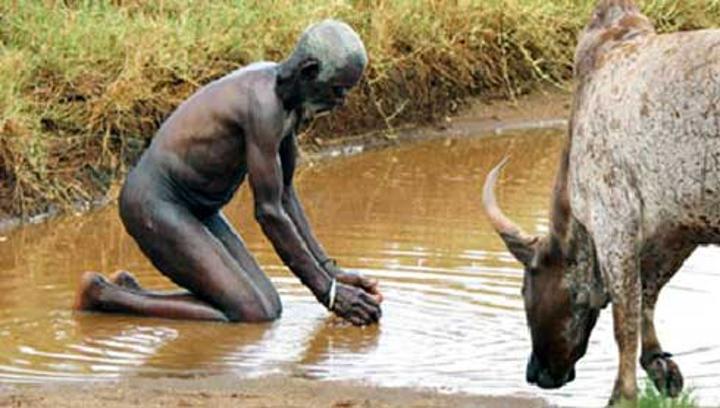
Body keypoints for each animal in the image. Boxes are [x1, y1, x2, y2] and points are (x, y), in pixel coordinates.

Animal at [482, 0, 720, 405]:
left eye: (523, 288)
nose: (535, 373)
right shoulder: (680, 226)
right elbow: (647, 292)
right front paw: (659, 366)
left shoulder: (614, 224)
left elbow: (625, 317)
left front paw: (622, 394)